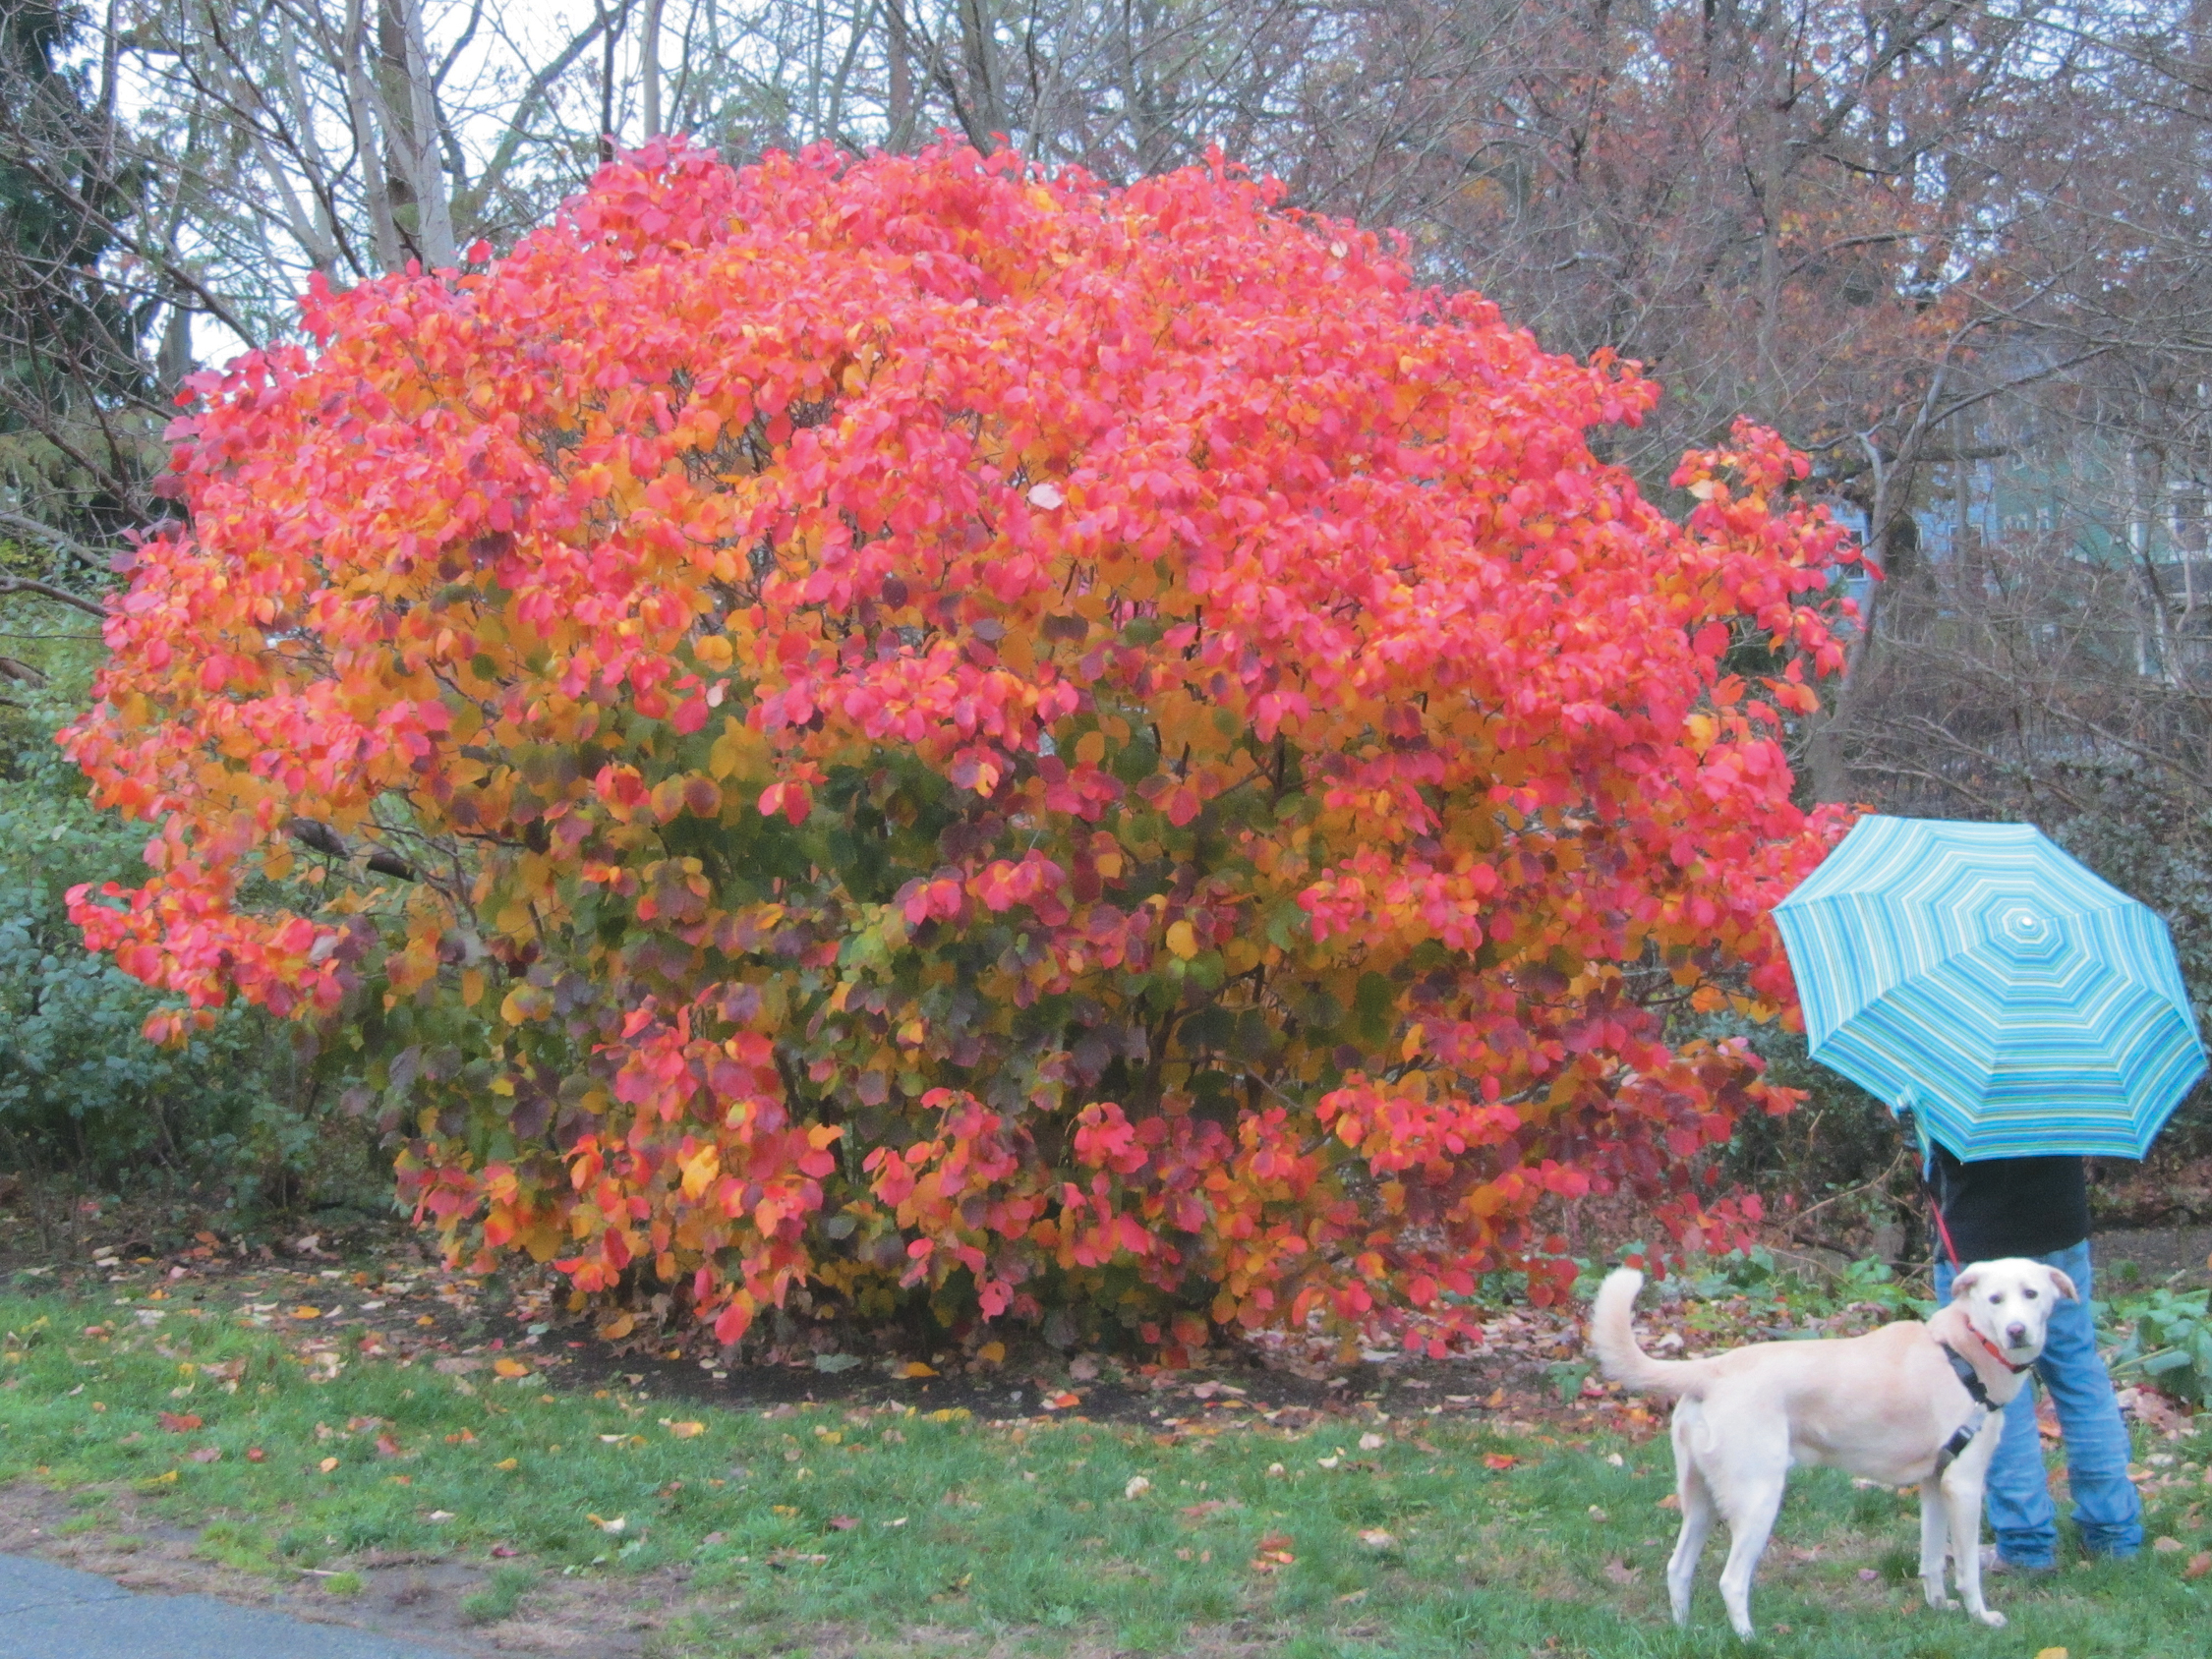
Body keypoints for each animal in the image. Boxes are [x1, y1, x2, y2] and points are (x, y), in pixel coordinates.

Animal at [1593, 1256, 2070, 1636]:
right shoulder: (1965, 1485)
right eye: (1995, 1299)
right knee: (1731, 1580)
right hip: (1759, 1499)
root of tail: (1712, 1370)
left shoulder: (1935, 1485)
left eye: (2031, 1294)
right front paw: (1981, 1618)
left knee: (1677, 1569)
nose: (2016, 1331)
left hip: (1701, 1501)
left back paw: (1684, 1630)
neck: (1964, 1352)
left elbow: (1933, 1558)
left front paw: (1939, 1608)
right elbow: (1968, 1568)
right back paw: (1749, 1639)